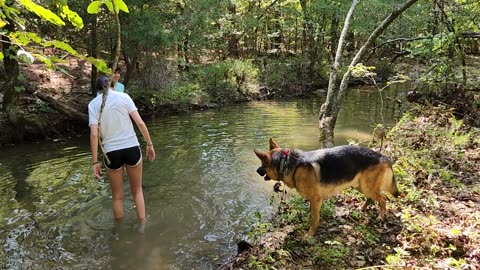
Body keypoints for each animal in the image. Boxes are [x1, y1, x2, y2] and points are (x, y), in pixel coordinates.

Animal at [255, 139, 398, 236]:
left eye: (262, 163)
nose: (257, 170)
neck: (286, 163)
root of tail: (383, 156)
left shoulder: (315, 199)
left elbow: (314, 219)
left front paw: (310, 235)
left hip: (368, 187)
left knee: (383, 199)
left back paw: (380, 217)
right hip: (360, 185)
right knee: (371, 198)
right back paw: (362, 208)